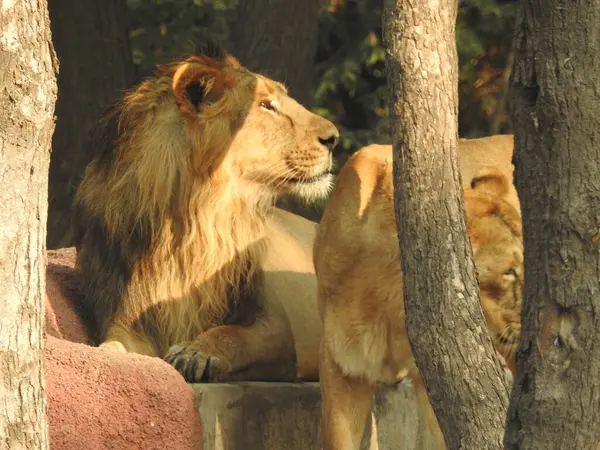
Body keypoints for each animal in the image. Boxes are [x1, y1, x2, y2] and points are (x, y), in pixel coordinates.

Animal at [71, 47, 338, 382]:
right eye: (265, 105)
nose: (334, 138)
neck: (193, 224)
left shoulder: (275, 330)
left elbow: (231, 336)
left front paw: (196, 352)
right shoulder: (126, 311)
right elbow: (115, 341)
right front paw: (109, 355)